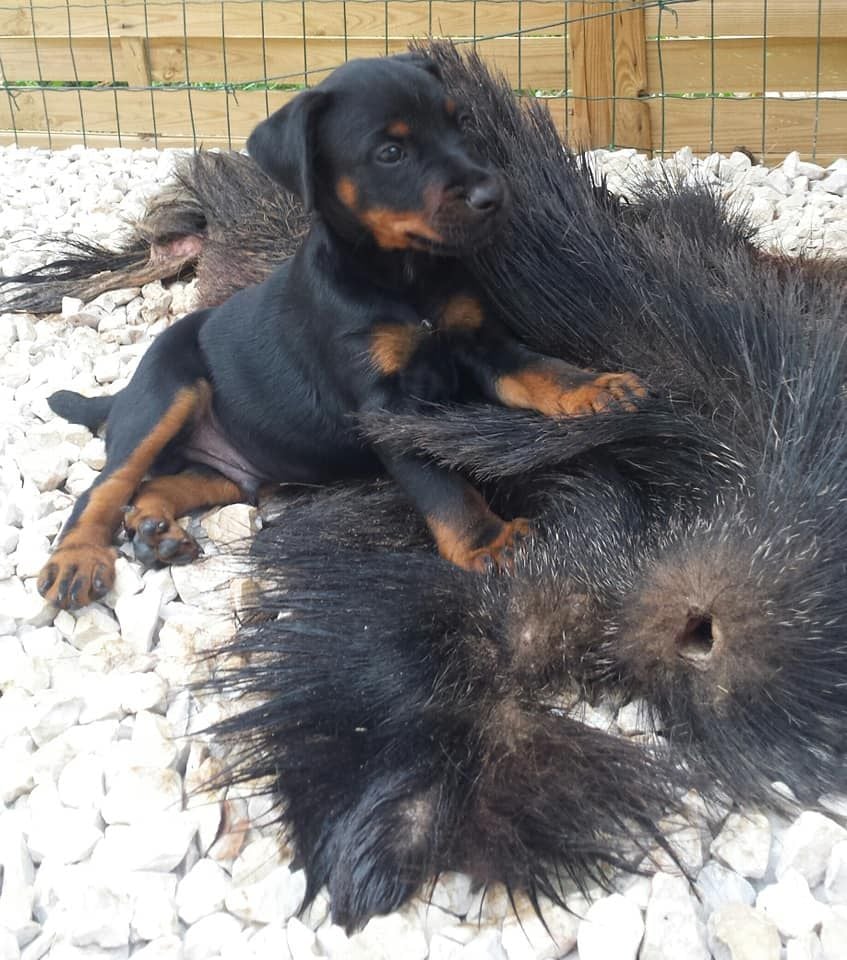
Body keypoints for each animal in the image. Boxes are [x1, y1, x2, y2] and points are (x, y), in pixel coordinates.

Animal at [34, 52, 644, 608]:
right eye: (391, 152)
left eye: (462, 124)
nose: (494, 197)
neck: (404, 280)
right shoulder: (383, 406)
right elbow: (440, 483)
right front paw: (488, 542)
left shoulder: (480, 343)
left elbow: (541, 369)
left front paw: (598, 388)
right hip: (167, 393)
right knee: (105, 486)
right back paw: (77, 559)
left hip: (229, 470)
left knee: (164, 485)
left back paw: (156, 531)